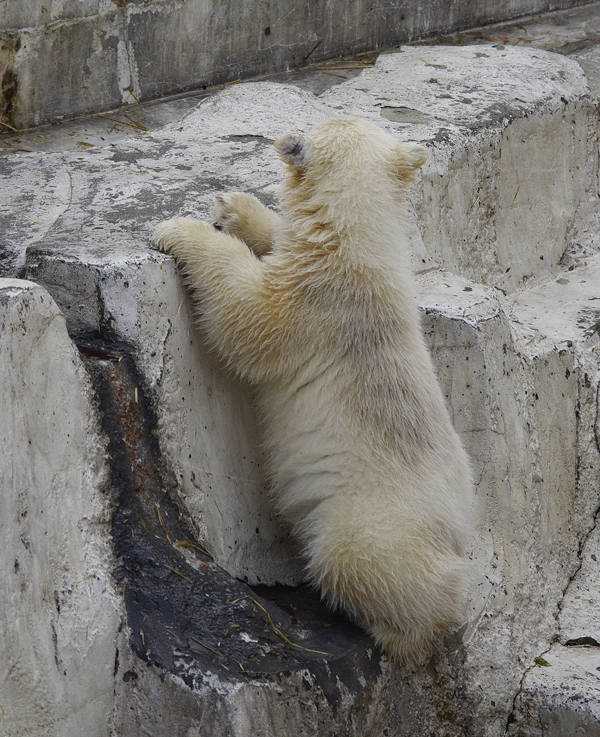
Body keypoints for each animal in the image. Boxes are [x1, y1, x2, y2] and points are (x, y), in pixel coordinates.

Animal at [155, 118, 474, 668]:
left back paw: (390, 630)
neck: (357, 244)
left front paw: (178, 230)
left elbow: (249, 317)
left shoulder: (316, 303)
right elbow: (277, 241)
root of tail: (455, 539)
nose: (288, 137)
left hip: (373, 521)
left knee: (357, 561)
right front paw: (234, 208)